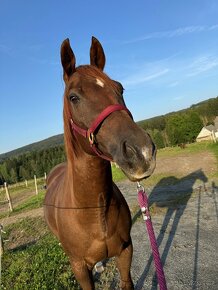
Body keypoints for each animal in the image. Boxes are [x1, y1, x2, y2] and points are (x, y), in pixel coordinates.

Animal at [43, 36, 157, 290]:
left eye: (120, 88)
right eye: (73, 97)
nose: (141, 152)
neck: (92, 211)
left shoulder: (125, 250)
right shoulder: (79, 268)